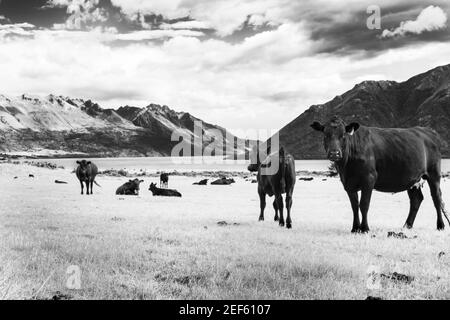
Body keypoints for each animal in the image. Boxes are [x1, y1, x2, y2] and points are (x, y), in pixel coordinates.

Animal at [312, 115, 450, 232]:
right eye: (325, 135)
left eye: (343, 136)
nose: (334, 153)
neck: (346, 167)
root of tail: (428, 130)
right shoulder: (348, 183)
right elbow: (354, 206)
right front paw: (355, 228)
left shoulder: (369, 179)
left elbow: (364, 204)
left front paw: (365, 229)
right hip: (412, 178)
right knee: (416, 199)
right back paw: (407, 226)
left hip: (434, 174)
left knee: (436, 198)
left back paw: (440, 225)